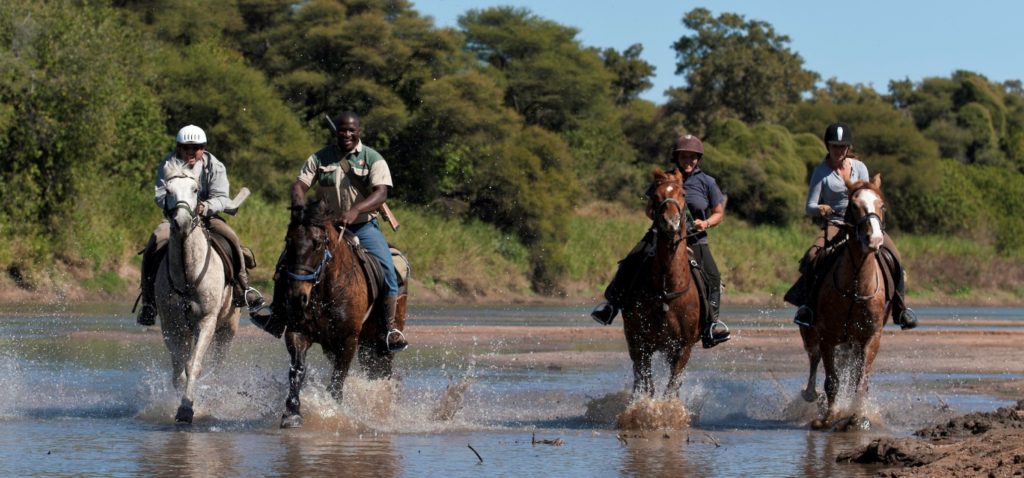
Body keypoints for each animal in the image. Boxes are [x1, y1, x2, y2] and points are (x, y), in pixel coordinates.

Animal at [152, 163, 246, 423]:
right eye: (168, 190)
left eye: (195, 189)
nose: (182, 222)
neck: (187, 275)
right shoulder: (171, 325)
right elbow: (179, 369)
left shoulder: (206, 321)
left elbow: (194, 365)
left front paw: (186, 408)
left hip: (228, 328)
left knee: (218, 364)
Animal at [280, 200, 411, 427]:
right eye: (289, 241)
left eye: (317, 244)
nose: (297, 297)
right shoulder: (298, 332)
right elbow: (296, 369)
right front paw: (292, 412)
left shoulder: (348, 339)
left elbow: (338, 378)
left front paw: (332, 412)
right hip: (361, 345)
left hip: (382, 344)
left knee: (382, 373)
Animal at [622, 169, 704, 399]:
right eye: (655, 196)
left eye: (683, 194)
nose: (671, 222)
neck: (667, 289)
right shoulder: (642, 343)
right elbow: (648, 386)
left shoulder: (683, 347)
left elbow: (671, 388)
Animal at [798, 172, 888, 429]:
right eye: (854, 206)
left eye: (882, 206)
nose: (874, 239)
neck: (856, 284)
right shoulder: (827, 336)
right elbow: (831, 381)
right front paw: (828, 417)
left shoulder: (871, 337)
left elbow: (861, 381)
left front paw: (857, 416)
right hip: (811, 332)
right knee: (813, 358)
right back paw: (811, 394)